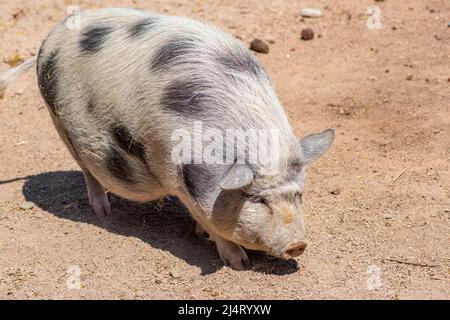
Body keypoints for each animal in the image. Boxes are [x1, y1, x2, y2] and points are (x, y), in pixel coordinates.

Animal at [0, 8, 334, 270]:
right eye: (256, 198)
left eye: (298, 195)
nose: (297, 245)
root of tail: (46, 42)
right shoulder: (174, 172)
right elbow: (211, 221)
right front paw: (238, 263)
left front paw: (202, 235)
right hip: (59, 122)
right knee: (88, 171)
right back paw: (103, 212)